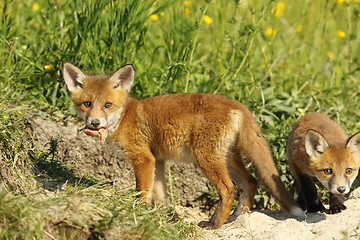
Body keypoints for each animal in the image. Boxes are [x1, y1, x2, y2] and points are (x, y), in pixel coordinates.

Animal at [62, 62, 304, 229]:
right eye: (87, 104)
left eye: (107, 105)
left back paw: (214, 224)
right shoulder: (158, 160)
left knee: (230, 189)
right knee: (251, 183)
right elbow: (160, 196)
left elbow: (142, 192)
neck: (124, 118)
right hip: (227, 158)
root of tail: (237, 105)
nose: (94, 123)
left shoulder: (143, 158)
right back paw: (235, 219)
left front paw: (136, 214)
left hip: (206, 158)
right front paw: (161, 218)